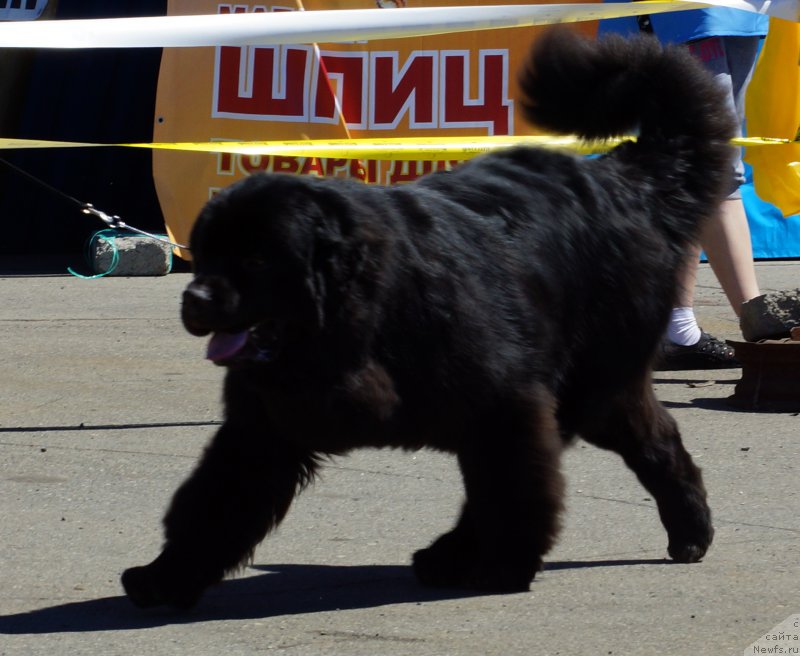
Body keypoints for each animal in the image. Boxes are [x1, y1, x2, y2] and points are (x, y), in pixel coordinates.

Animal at [122, 28, 736, 608]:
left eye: (254, 260)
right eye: (205, 254)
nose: (195, 297)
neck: (357, 321)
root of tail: (624, 179)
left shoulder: (507, 402)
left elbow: (516, 490)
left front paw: (505, 566)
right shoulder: (261, 428)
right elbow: (212, 504)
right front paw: (164, 578)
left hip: (593, 384)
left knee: (639, 443)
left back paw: (682, 533)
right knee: (643, 440)